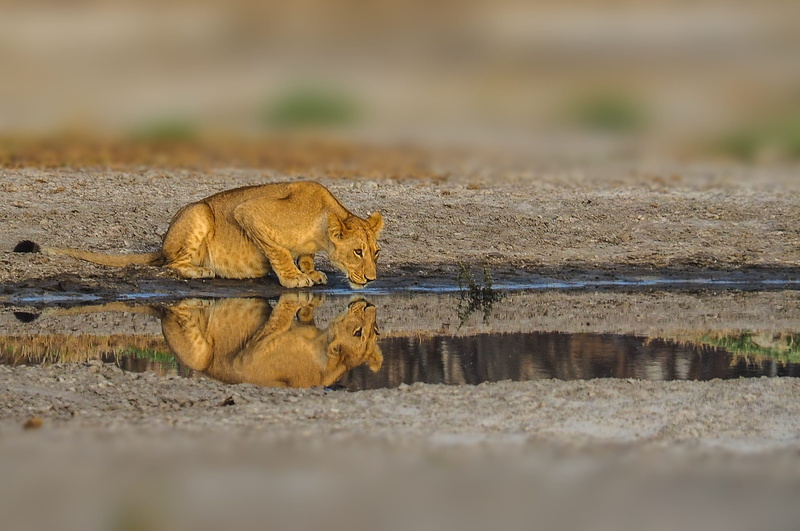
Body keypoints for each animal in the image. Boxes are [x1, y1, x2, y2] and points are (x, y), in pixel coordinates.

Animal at [14, 181, 383, 289]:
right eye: (358, 252)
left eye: (376, 252)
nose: (372, 279)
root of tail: (163, 242)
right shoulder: (248, 212)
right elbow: (278, 250)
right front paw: (293, 277)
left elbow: (304, 255)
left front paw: (311, 270)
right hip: (199, 213)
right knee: (171, 264)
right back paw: (203, 270)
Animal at [161, 294, 383, 388]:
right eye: (376, 330)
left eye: (357, 332)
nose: (370, 305)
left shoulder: (247, 358)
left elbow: (278, 318)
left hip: (199, 356)